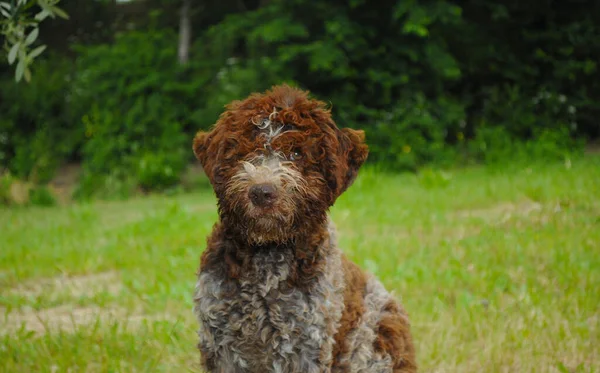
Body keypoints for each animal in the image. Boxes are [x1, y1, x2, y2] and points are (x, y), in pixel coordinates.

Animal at [193, 85, 418, 372]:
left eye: (297, 154)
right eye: (244, 153)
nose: (262, 192)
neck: (267, 257)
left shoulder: (308, 344)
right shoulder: (220, 343)